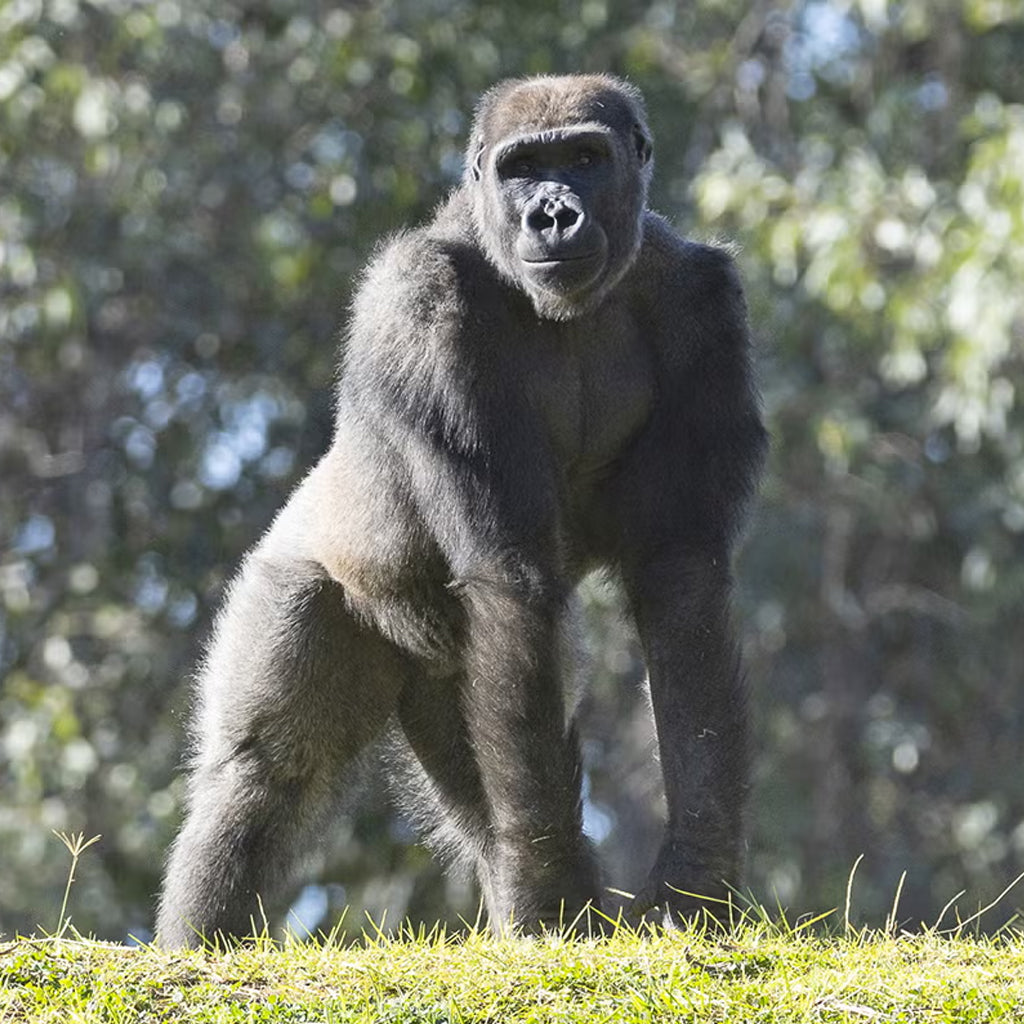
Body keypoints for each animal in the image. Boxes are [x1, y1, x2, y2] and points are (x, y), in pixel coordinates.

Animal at [156, 73, 767, 947]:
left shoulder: (704, 302)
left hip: (442, 678)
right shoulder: (421, 301)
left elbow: (679, 579)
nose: (552, 214)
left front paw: (696, 878)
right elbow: (511, 574)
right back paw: (199, 946)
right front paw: (556, 899)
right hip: (309, 579)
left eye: (585, 159)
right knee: (269, 770)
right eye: (522, 168)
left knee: (481, 798)